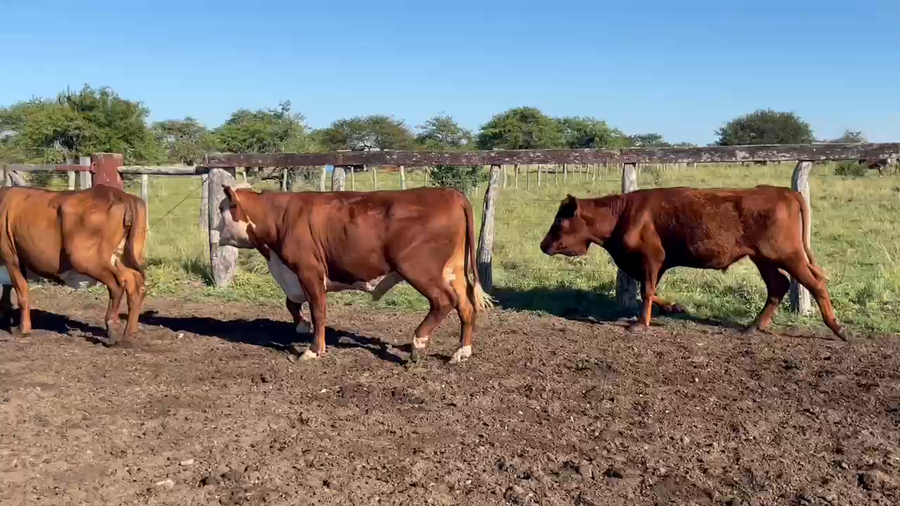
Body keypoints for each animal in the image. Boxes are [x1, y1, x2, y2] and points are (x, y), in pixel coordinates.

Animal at [0, 185, 148, 344]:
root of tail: (117, 194)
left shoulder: (11, 258)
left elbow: (21, 292)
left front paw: (23, 329)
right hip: (124, 257)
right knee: (135, 283)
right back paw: (130, 333)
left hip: (85, 259)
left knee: (117, 285)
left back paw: (112, 330)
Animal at [215, 184, 493, 363]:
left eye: (220, 210)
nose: (213, 232)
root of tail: (449, 192)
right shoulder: (296, 275)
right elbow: (291, 303)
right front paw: (302, 326)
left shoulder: (309, 270)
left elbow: (318, 310)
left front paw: (313, 350)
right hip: (453, 270)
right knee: (466, 306)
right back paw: (461, 352)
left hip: (417, 267)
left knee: (444, 301)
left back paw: (417, 343)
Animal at [539, 185, 848, 340]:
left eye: (559, 221)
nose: (543, 245)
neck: (623, 213)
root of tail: (786, 192)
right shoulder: (655, 264)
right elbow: (650, 291)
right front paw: (675, 306)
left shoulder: (652, 258)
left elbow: (646, 291)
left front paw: (640, 324)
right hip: (764, 258)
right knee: (778, 286)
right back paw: (753, 327)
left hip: (788, 255)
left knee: (814, 283)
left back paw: (837, 328)